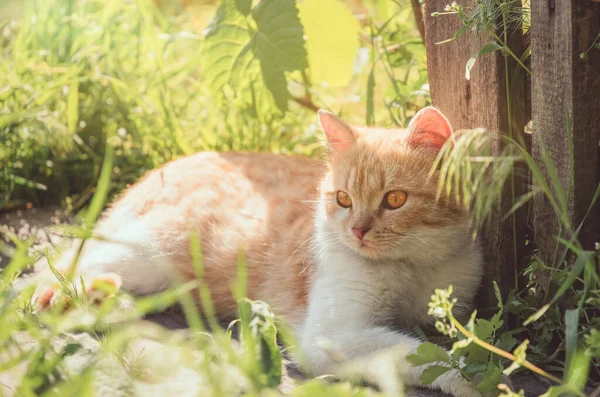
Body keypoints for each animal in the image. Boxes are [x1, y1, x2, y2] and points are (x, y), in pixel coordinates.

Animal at [31, 106, 482, 394]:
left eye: (395, 200)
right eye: (343, 199)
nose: (357, 230)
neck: (411, 267)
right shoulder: (332, 335)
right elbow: (415, 351)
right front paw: (468, 377)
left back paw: (107, 302)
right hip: (154, 251)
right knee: (62, 268)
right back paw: (68, 297)